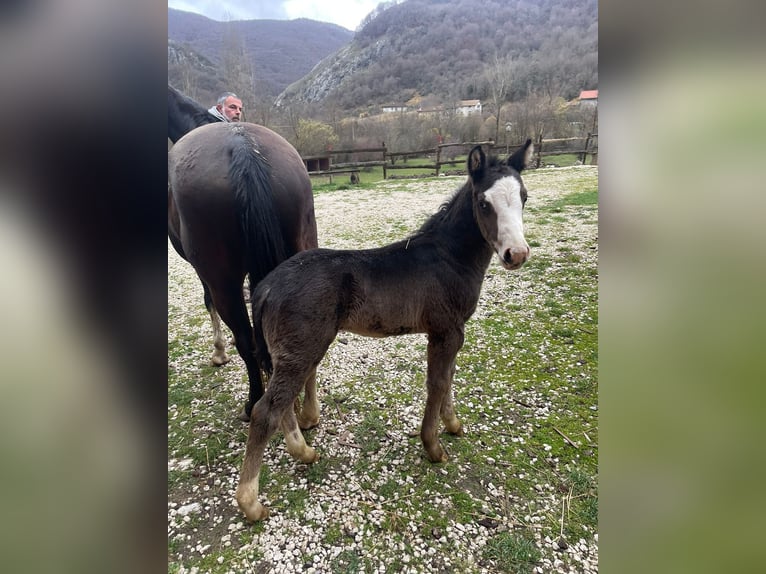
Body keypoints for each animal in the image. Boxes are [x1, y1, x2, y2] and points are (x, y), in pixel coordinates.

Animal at [168, 98, 319, 420]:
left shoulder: (203, 273)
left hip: (223, 281)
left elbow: (208, 303)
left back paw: (253, 403)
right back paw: (309, 412)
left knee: (245, 338)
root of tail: (243, 147)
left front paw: (218, 352)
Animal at [236, 140, 534, 521]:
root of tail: (266, 286)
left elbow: (450, 377)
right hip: (302, 349)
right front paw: (433, 446)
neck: (449, 257)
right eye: (484, 203)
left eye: (524, 197)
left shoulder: (452, 333)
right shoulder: (446, 331)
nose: (516, 254)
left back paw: (304, 451)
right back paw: (251, 502)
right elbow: (438, 383)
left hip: (292, 351)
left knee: (282, 403)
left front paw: (453, 424)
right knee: (265, 411)